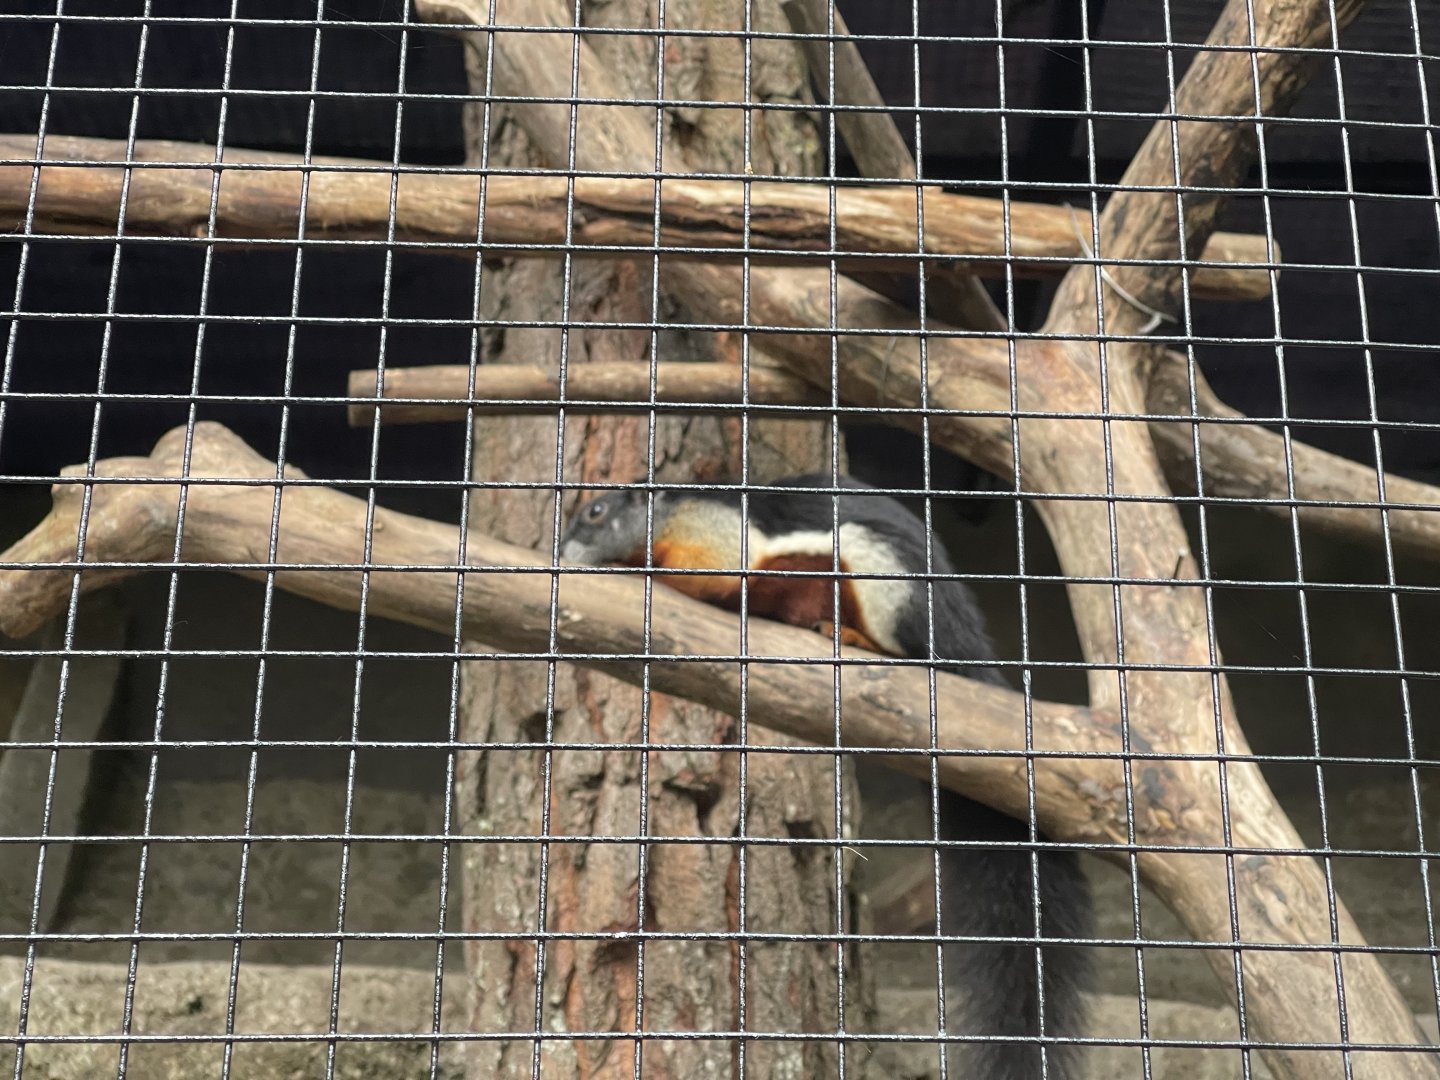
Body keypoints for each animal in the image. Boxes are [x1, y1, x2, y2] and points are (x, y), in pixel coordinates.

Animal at [560, 474, 1092, 1080]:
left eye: (596, 512)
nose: (565, 550)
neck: (667, 516)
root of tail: (968, 653)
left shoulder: (713, 535)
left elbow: (712, 572)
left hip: (887, 582)